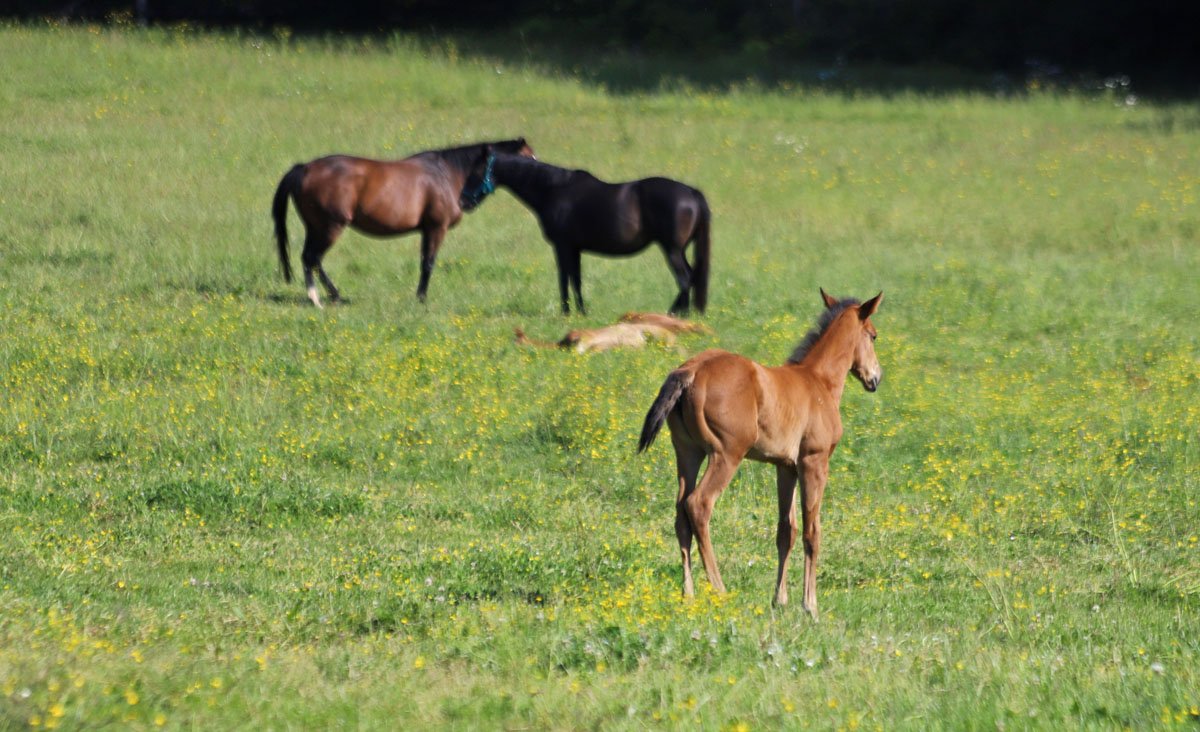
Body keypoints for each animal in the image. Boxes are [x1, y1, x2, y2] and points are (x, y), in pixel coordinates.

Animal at [271, 138, 535, 308]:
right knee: (312, 258)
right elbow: (428, 263)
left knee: (310, 258)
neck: (448, 174)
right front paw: (422, 299)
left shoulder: (427, 230)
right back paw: (322, 297)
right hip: (330, 227)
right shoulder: (436, 228)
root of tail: (304, 169)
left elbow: (424, 262)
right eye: (529, 157)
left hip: (315, 228)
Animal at [485, 152, 711, 315]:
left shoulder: (562, 245)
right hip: (679, 250)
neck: (554, 189)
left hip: (672, 249)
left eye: (478, 168)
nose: (473, 200)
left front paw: (566, 312)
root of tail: (691, 192)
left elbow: (564, 278)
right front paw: (581, 312)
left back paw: (676, 314)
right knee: (692, 276)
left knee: (685, 279)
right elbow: (576, 279)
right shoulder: (574, 248)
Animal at [638, 289, 883, 619]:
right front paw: (810, 606)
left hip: (688, 453)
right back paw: (720, 589)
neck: (818, 382)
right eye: (873, 335)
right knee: (698, 505)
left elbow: (786, 530)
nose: (875, 378)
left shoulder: (786, 467)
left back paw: (688, 595)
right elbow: (812, 532)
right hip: (725, 454)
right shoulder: (814, 462)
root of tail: (691, 370)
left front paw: (780, 600)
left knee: (680, 514)